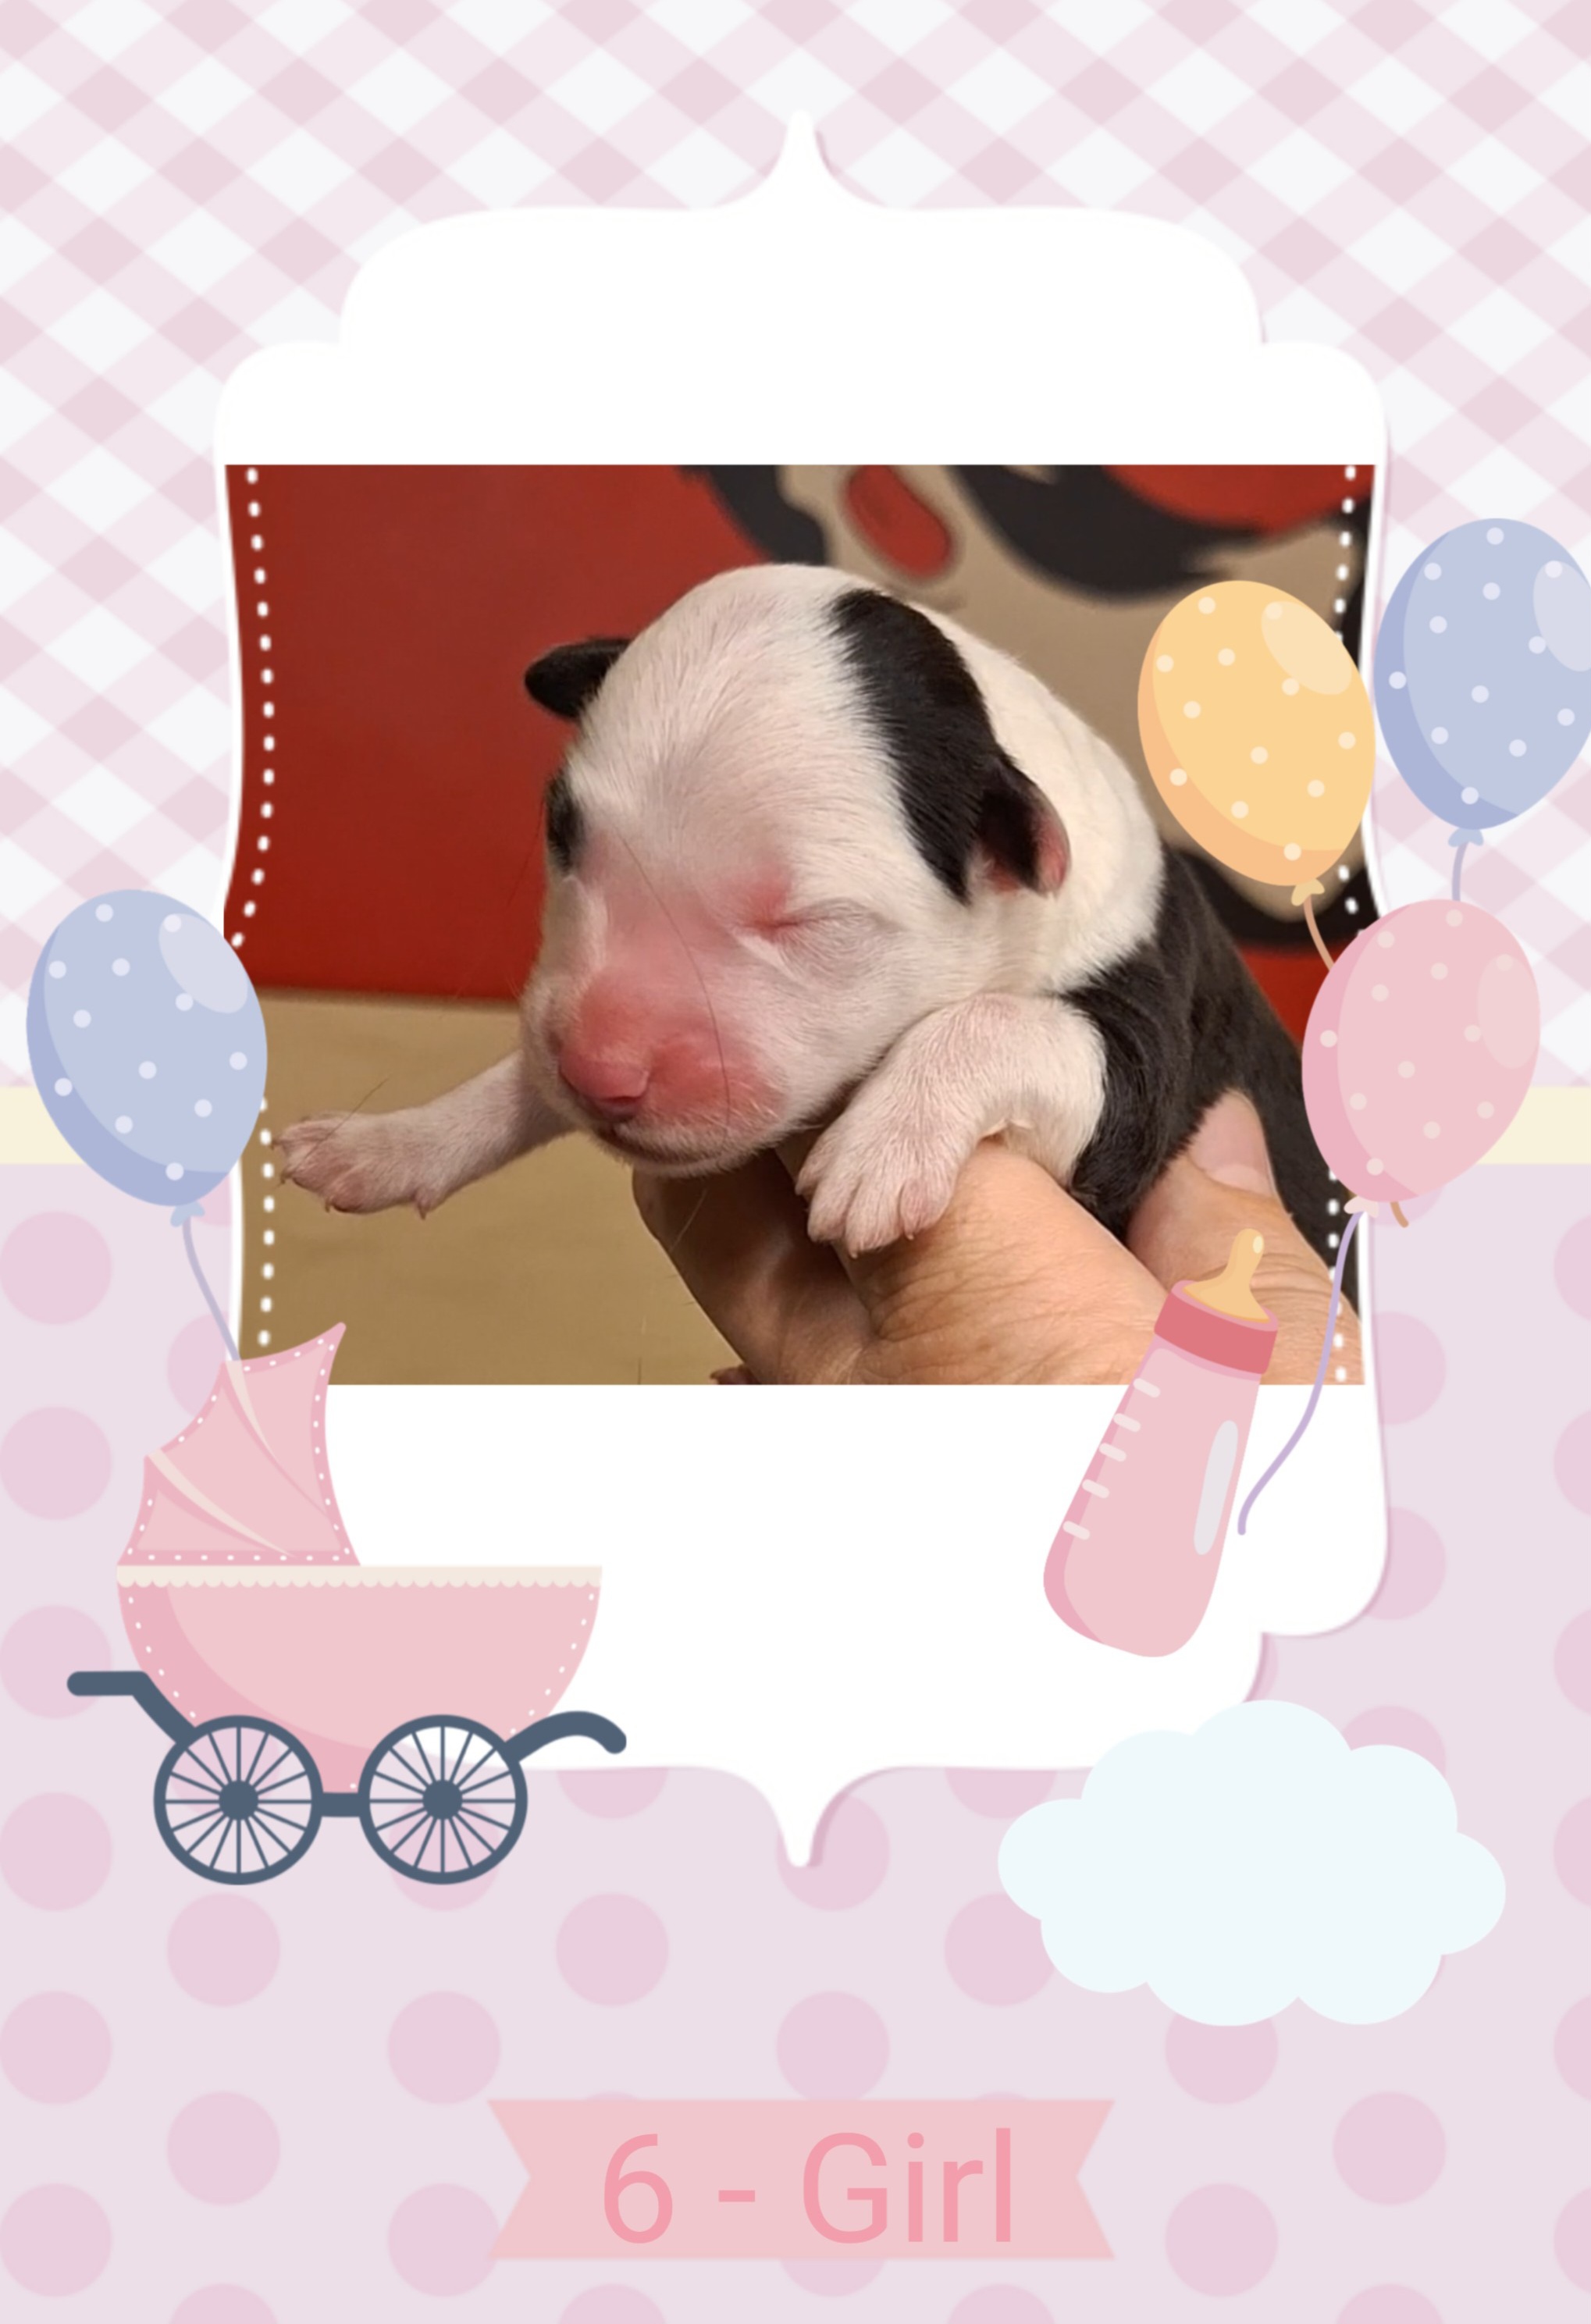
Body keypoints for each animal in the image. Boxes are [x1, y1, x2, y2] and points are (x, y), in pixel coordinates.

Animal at [278, 564, 1334, 1269]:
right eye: (560, 833)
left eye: (809, 924)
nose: (599, 1070)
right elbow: (521, 1077)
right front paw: (394, 1142)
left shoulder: (1147, 1041)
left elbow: (1010, 1022)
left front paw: (884, 1144)